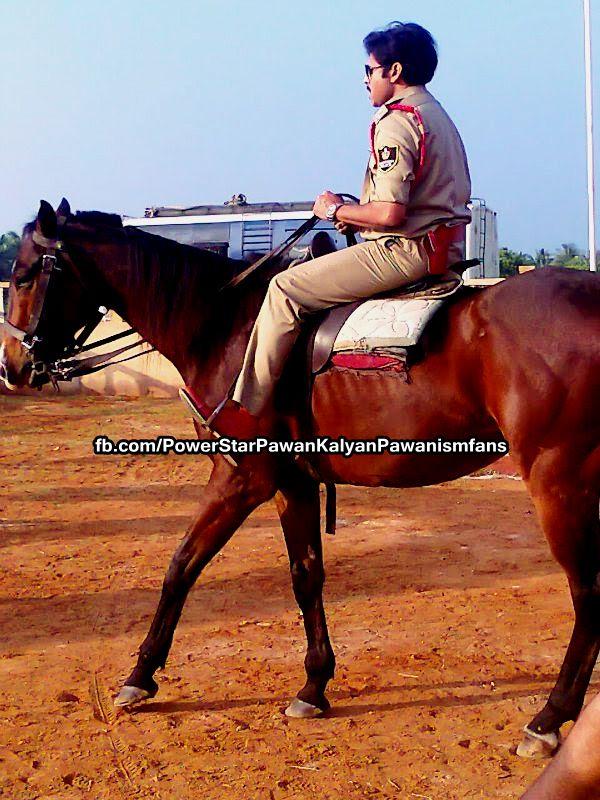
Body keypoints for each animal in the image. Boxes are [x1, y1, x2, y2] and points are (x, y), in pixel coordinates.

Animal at [3, 200, 600, 756]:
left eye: (26, 274)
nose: (12, 367)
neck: (224, 326)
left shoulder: (241, 479)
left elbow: (181, 566)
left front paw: (140, 675)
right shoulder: (294, 483)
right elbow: (304, 575)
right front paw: (314, 685)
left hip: (558, 481)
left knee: (588, 593)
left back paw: (549, 719)